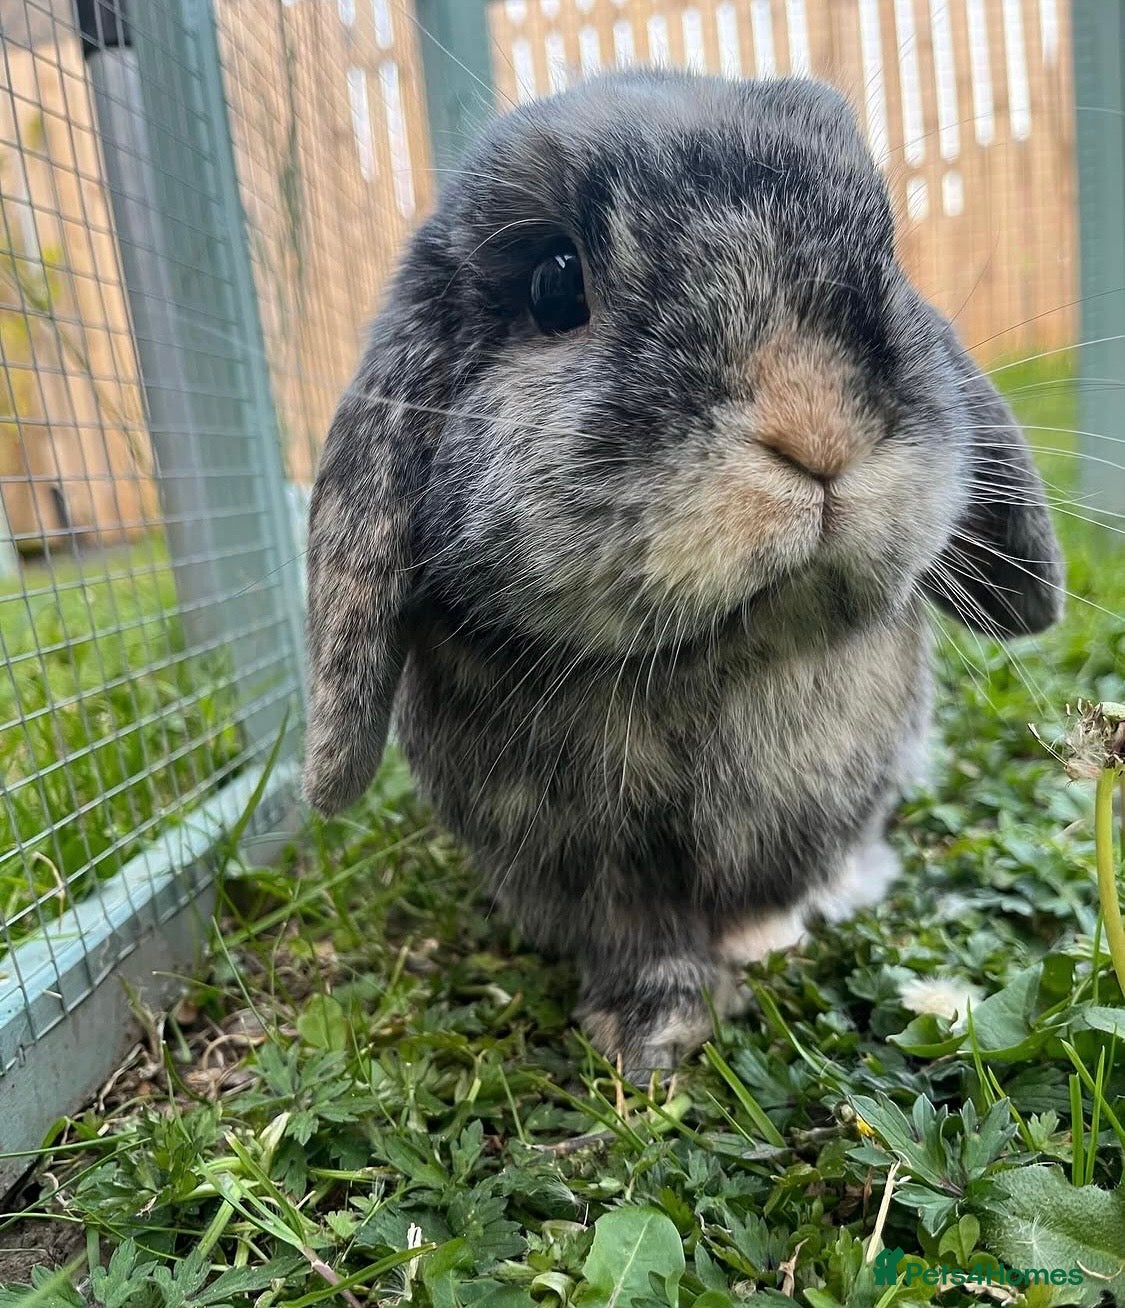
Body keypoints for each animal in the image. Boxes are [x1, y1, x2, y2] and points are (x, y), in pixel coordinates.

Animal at [302, 69, 1063, 1078]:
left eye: (887, 252)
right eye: (553, 281)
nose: (815, 424)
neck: (712, 663)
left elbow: (771, 896)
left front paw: (772, 940)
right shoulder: (579, 866)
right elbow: (636, 937)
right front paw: (651, 1032)